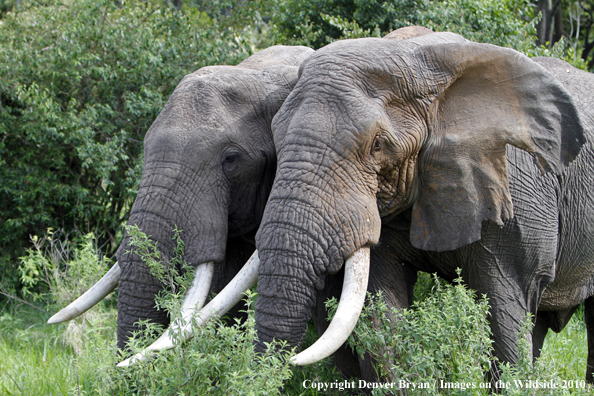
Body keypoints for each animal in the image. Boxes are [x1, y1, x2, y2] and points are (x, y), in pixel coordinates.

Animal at [246, 28, 594, 380]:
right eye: (275, 136)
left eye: (377, 146)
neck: (422, 62)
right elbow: (382, 314)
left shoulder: (517, 202)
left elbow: (505, 312)